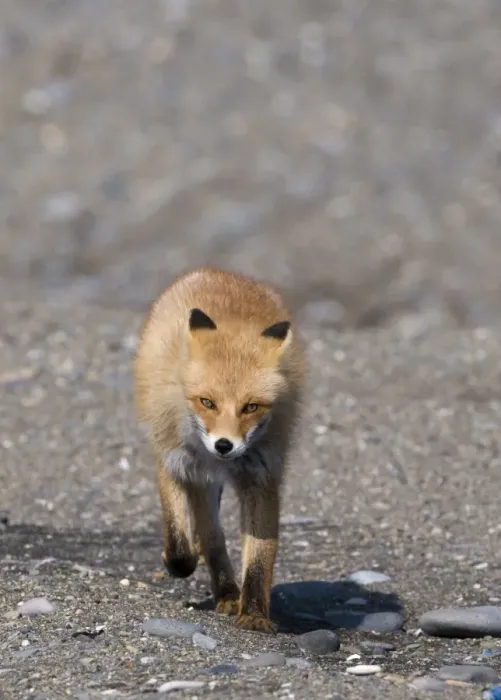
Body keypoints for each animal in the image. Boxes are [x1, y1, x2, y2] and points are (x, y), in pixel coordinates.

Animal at [133, 267, 306, 633]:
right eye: (207, 402)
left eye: (251, 407)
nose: (224, 445)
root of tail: (218, 273)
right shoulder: (181, 464)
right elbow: (188, 541)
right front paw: (181, 561)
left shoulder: (262, 476)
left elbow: (259, 555)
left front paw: (253, 613)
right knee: (203, 531)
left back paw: (228, 592)